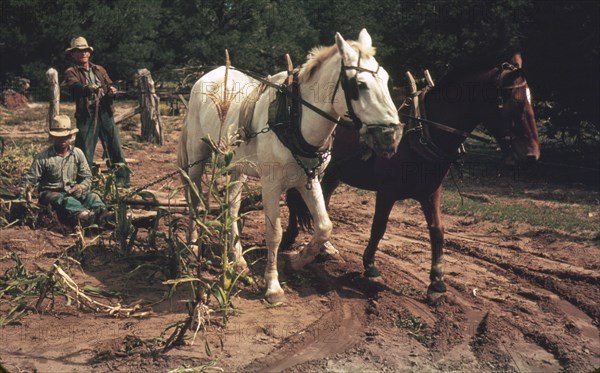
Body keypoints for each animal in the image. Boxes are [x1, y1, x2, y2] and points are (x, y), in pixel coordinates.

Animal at [178, 28, 404, 302]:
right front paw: (273, 286)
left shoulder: (309, 179)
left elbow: (324, 226)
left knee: (232, 207)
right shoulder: (271, 184)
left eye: (386, 78)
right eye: (359, 85)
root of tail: (207, 76)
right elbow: (274, 233)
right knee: (194, 201)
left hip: (236, 167)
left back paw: (238, 260)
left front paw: (297, 261)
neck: (293, 119)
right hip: (196, 158)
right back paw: (192, 249)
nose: (391, 136)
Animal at [282, 52, 540, 298]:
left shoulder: (430, 192)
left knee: (323, 201)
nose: (532, 155)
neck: (423, 128)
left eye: (530, 102)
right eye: (516, 103)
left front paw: (437, 282)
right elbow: (379, 226)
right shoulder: (387, 191)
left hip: (333, 172)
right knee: (294, 200)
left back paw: (324, 247)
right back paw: (290, 237)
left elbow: (437, 231)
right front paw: (370, 266)